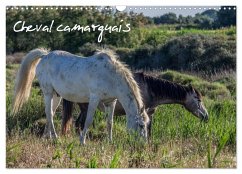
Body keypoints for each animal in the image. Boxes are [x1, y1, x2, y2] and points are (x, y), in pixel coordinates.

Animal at [12, 48, 149, 143]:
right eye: (141, 125)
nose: (143, 144)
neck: (110, 76)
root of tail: (45, 55)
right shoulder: (94, 98)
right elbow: (88, 120)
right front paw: (82, 141)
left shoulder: (111, 101)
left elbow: (110, 122)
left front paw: (110, 141)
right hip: (48, 92)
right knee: (49, 114)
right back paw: (55, 138)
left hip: (56, 95)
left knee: (50, 113)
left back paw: (47, 137)